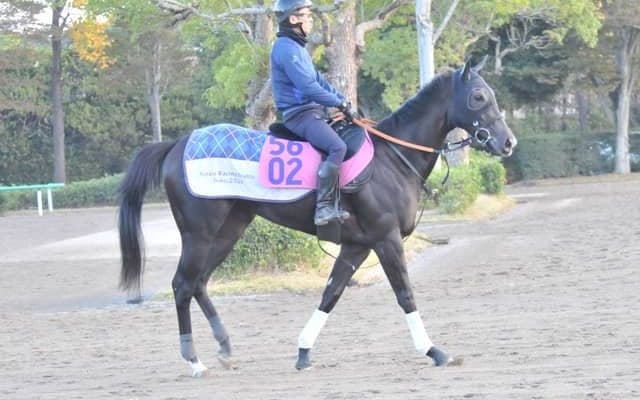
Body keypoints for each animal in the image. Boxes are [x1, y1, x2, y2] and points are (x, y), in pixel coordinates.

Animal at [118, 61, 517, 376]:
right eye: (478, 97)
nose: (508, 142)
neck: (391, 158)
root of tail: (177, 145)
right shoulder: (385, 239)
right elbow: (404, 293)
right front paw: (433, 350)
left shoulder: (357, 245)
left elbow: (331, 293)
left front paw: (303, 351)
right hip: (199, 235)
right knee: (183, 285)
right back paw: (194, 361)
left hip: (228, 232)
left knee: (199, 283)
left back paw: (225, 348)